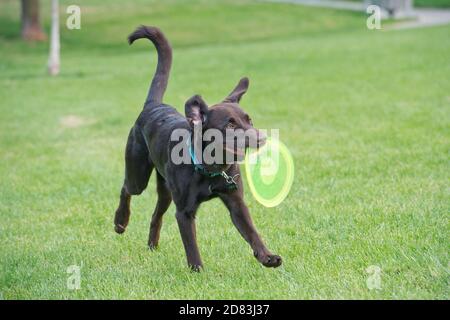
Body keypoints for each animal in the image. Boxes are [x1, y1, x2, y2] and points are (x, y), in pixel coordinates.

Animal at [112, 25, 282, 270]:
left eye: (249, 120)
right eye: (230, 124)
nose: (262, 137)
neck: (211, 167)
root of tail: (153, 105)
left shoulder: (236, 202)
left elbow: (252, 233)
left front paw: (267, 257)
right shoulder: (184, 212)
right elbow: (191, 245)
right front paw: (197, 271)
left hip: (166, 191)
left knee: (156, 215)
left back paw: (152, 245)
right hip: (138, 174)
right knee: (126, 189)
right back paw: (120, 221)